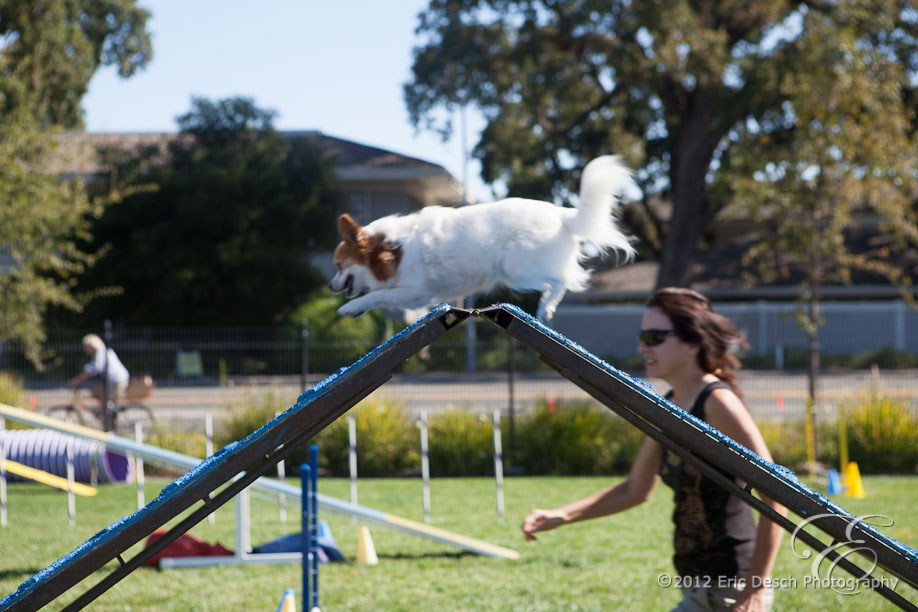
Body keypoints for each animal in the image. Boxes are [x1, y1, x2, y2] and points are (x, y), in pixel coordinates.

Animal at [328, 155, 636, 322]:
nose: (330, 286)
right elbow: (379, 297)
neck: (392, 249)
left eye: (339, 266)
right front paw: (356, 309)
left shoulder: (415, 290)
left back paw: (546, 305)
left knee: (563, 279)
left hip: (516, 268)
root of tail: (561, 214)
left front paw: (351, 307)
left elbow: (377, 295)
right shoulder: (415, 294)